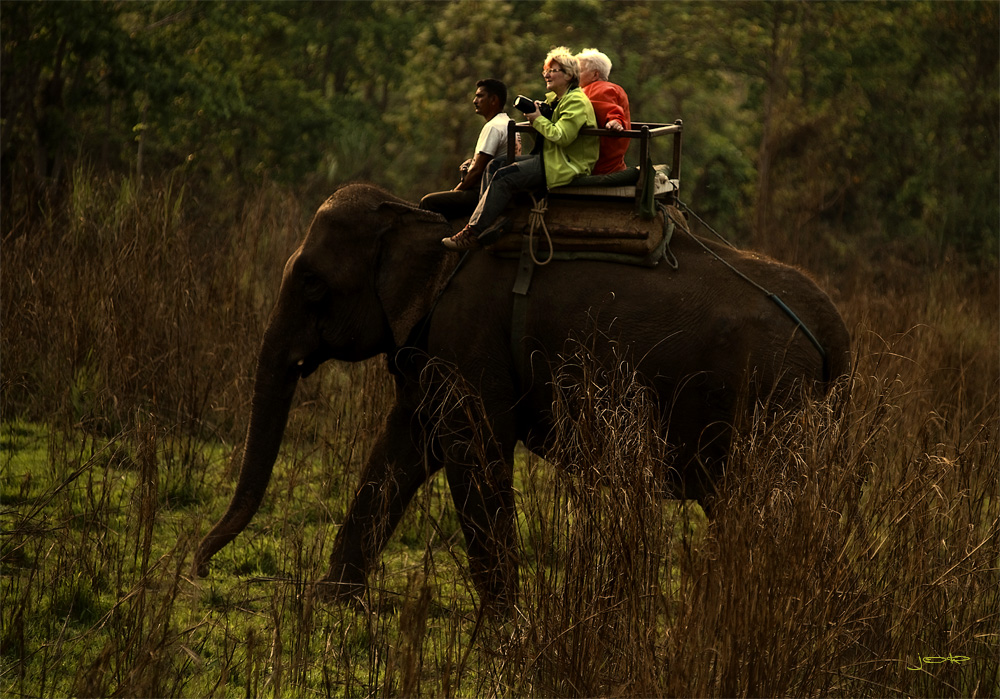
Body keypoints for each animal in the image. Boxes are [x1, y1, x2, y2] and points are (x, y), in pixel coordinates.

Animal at [197, 182, 852, 612]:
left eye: (311, 282)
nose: (200, 570)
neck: (421, 222)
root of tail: (834, 331)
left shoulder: (468, 337)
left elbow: (473, 451)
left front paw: (503, 623)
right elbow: (401, 448)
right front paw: (331, 602)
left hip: (764, 403)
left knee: (759, 510)